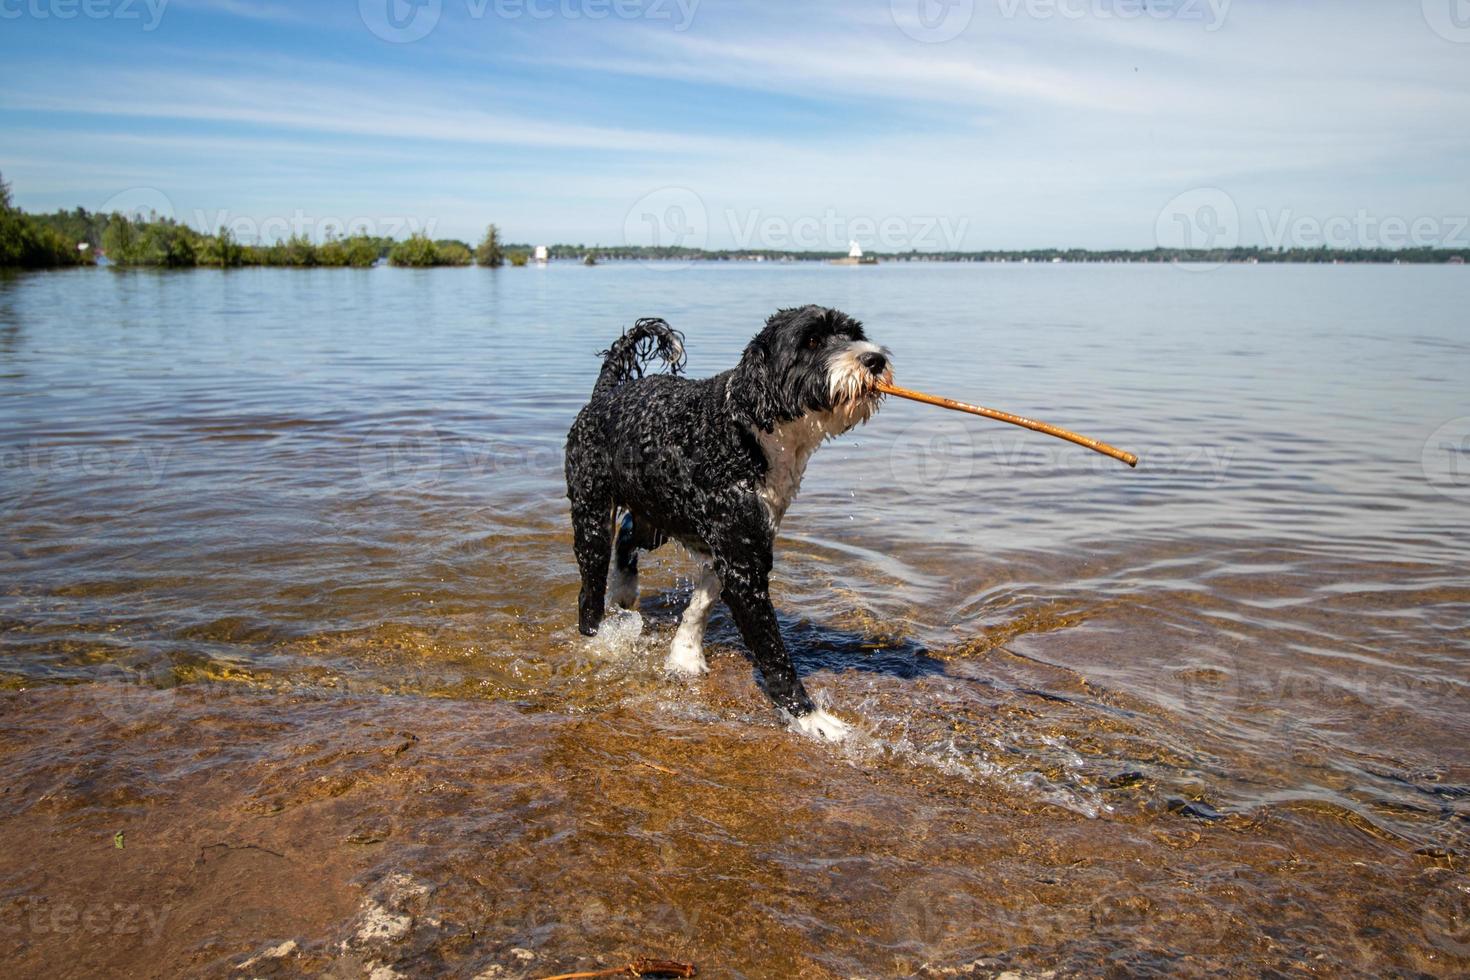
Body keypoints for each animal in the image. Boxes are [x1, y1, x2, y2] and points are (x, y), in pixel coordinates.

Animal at [561, 302, 887, 740]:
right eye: (812, 341)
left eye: (854, 334)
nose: (874, 359)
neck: (748, 429)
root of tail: (606, 392)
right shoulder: (743, 562)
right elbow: (773, 653)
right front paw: (810, 718)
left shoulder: (740, 546)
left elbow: (701, 602)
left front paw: (683, 654)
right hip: (592, 515)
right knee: (590, 589)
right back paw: (598, 638)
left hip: (656, 515)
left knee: (629, 535)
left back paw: (626, 589)